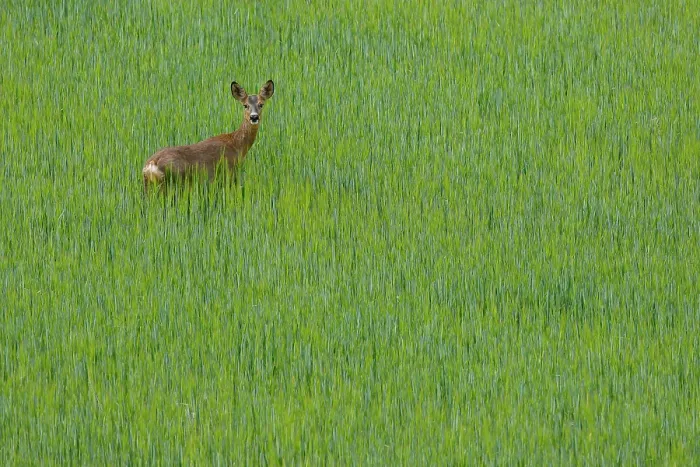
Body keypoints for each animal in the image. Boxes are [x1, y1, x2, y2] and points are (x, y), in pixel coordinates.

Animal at [142, 80, 274, 193]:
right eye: (245, 105)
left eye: (261, 104)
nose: (254, 117)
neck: (237, 144)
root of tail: (151, 164)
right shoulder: (228, 172)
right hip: (173, 182)